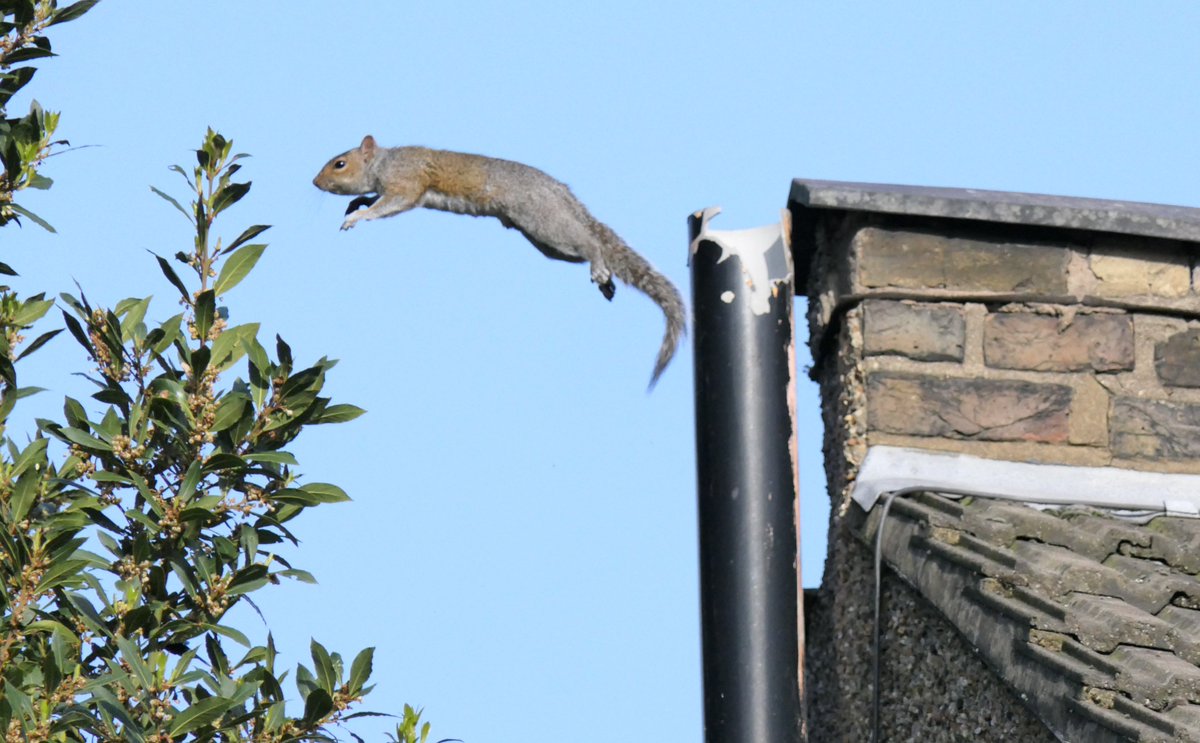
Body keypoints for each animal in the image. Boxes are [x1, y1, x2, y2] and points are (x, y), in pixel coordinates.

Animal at [313, 135, 686, 387]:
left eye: (340, 164)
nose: (315, 182)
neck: (382, 163)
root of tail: (560, 192)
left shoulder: (407, 182)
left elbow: (391, 203)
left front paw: (357, 217)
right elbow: (376, 200)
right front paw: (358, 203)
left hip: (543, 221)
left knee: (590, 243)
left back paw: (598, 264)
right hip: (547, 243)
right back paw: (605, 279)